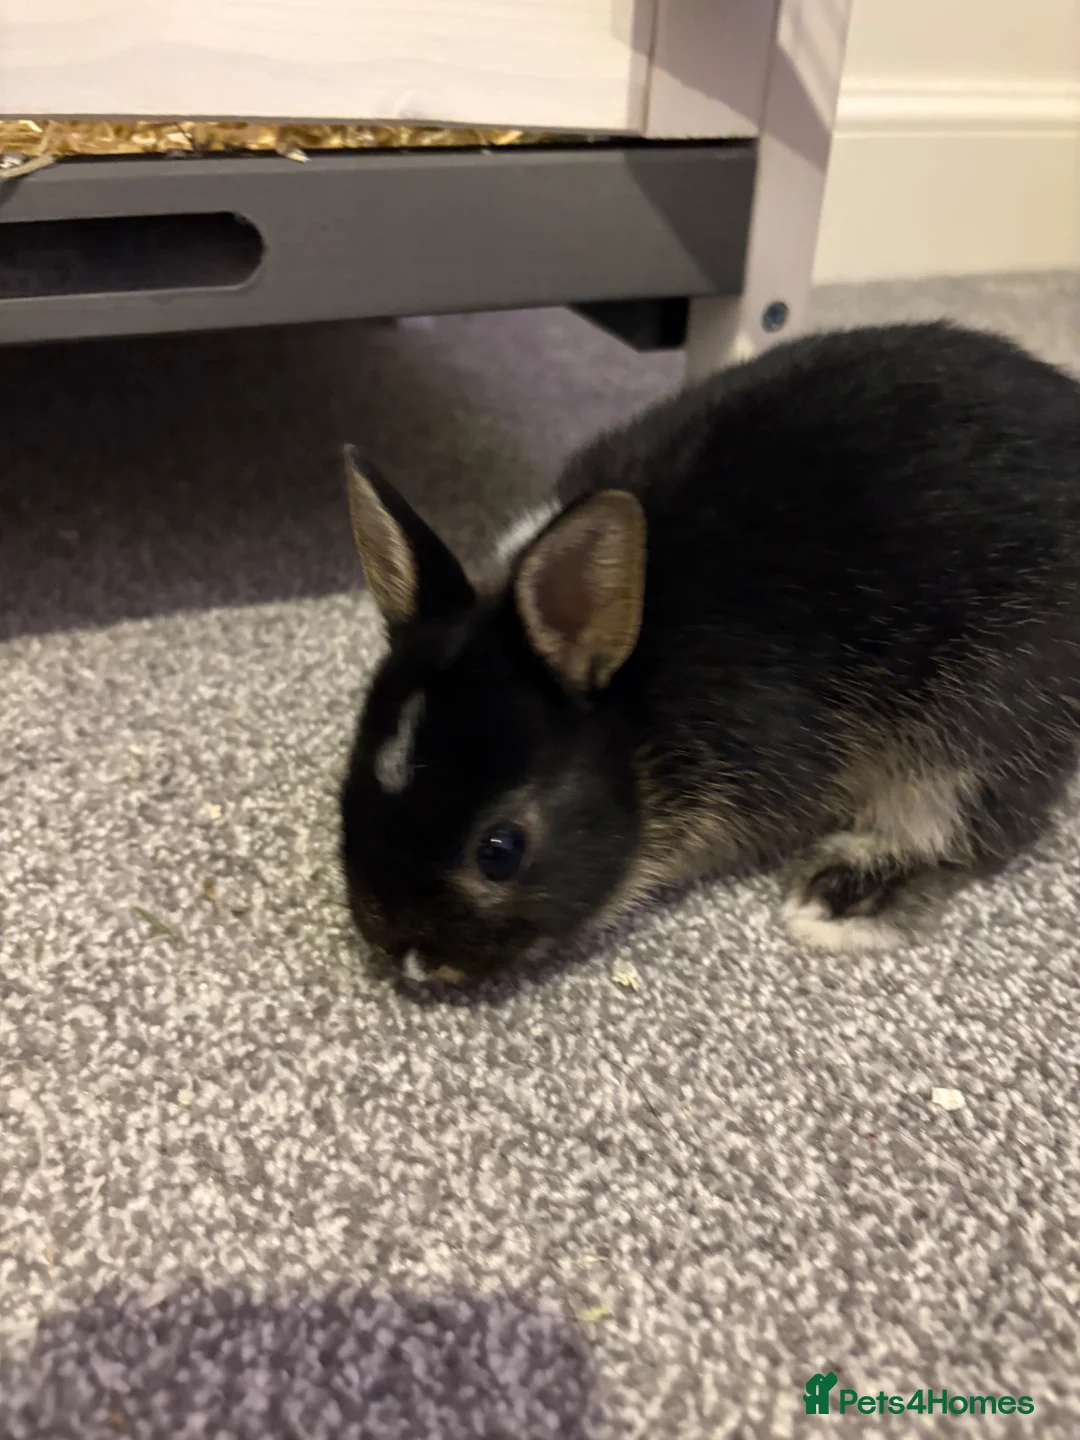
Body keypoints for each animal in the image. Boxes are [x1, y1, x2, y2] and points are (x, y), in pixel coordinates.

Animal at [339, 321, 1080, 984]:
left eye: (501, 851)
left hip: (978, 711)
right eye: (348, 790)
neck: (636, 716)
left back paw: (837, 899)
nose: (408, 956)